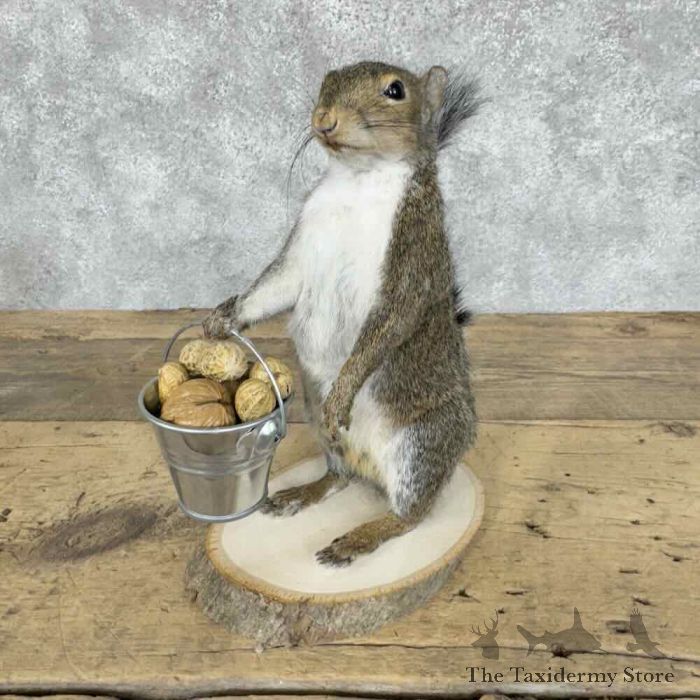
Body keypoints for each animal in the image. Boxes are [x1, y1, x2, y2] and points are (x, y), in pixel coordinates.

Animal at [204, 61, 481, 567]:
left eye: (396, 90)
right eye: (326, 81)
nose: (324, 119)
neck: (357, 179)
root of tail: (370, 467)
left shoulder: (412, 253)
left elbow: (389, 322)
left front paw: (345, 389)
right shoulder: (301, 251)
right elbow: (274, 286)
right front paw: (223, 318)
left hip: (420, 443)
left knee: (410, 514)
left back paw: (361, 536)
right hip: (317, 423)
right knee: (339, 476)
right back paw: (306, 492)